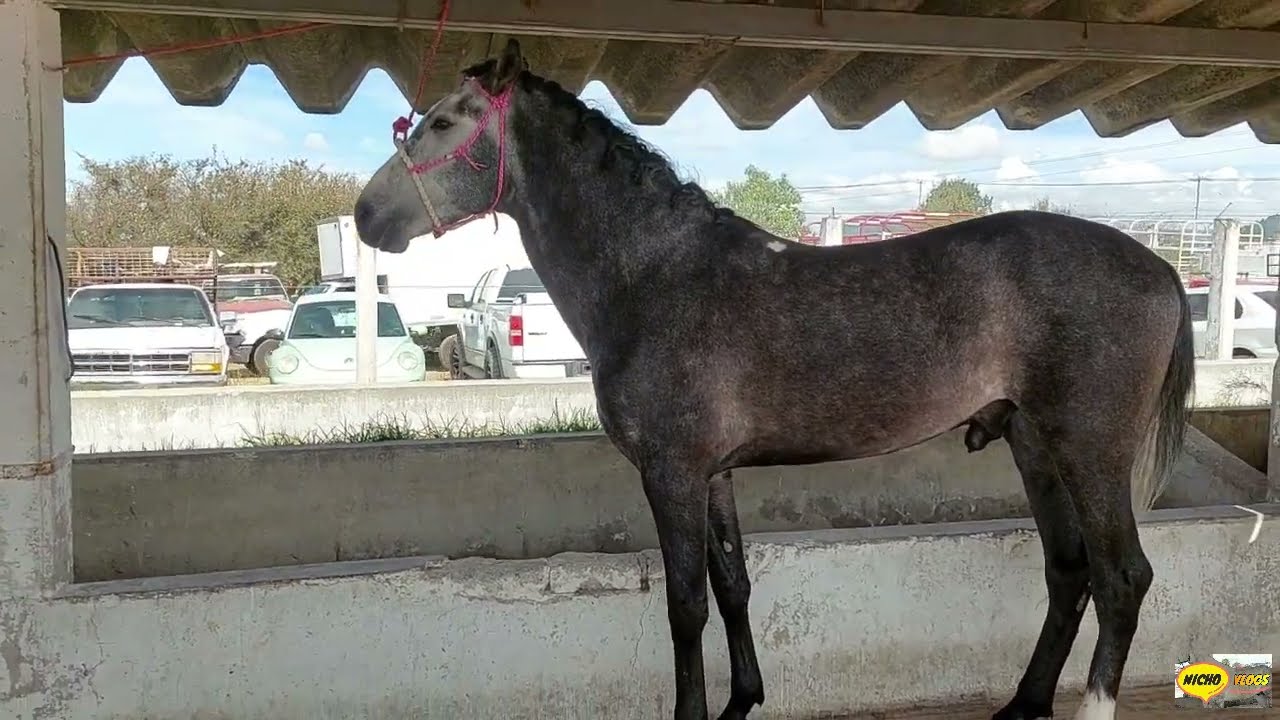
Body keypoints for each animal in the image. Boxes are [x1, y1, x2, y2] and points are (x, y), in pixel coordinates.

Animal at [353, 39, 1195, 720]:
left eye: (444, 123)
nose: (365, 215)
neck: (653, 276)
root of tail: (1161, 268)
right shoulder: (713, 475)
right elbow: (733, 587)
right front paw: (742, 701)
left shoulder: (671, 473)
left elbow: (686, 606)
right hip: (1033, 444)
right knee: (1069, 571)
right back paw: (1023, 703)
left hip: (1090, 450)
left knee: (1122, 578)